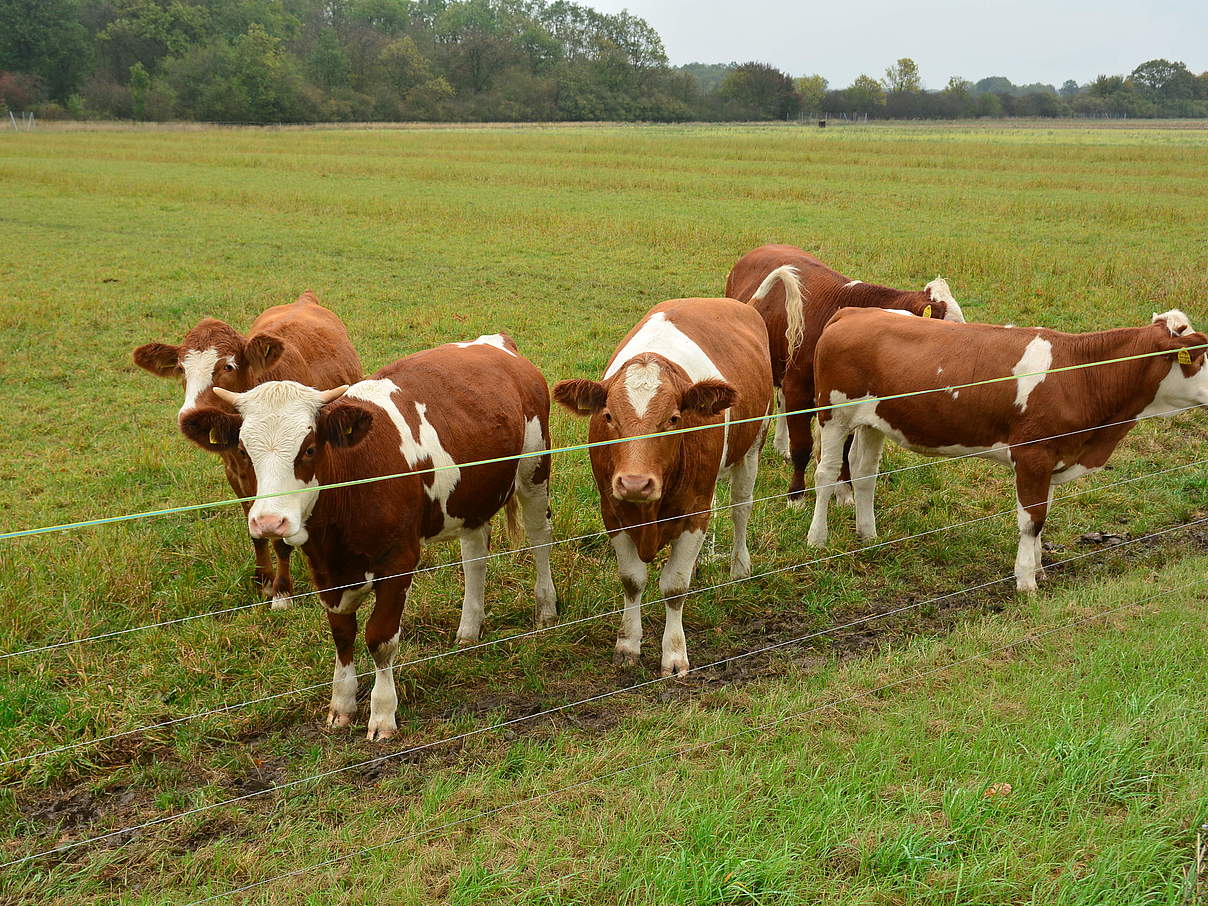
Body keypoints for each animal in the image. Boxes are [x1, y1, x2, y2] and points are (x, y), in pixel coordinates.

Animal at [132, 294, 359, 613]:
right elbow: (255, 532)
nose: (190, 414)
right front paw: (263, 580)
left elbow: (279, 538)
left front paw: (282, 591)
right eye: (181, 369)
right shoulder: (236, 475)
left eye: (227, 366)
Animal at [178, 338, 555, 739]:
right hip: (469, 497)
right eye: (244, 452)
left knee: (539, 537)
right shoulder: (324, 571)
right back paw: (468, 629)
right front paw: (341, 704)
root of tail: (493, 342)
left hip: (534, 469)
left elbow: (380, 638)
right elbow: (342, 634)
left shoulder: (399, 561)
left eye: (309, 449)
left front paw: (382, 714)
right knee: (474, 555)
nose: (269, 522)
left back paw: (546, 609)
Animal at [553, 298, 768, 676]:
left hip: (754, 445)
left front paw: (674, 654)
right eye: (609, 417)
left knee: (741, 507)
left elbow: (674, 586)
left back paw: (740, 567)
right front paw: (627, 645)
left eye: (673, 419)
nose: (635, 483)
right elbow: (632, 579)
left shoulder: (697, 509)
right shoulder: (612, 510)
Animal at [724, 245, 961, 504]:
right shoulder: (798, 391)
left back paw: (780, 447)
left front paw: (844, 492)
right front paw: (796, 496)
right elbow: (802, 446)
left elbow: (845, 451)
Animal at [802, 309, 1208, 591]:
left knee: (864, 472)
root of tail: (855, 312)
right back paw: (817, 539)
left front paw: (1040, 569)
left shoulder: (1052, 458)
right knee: (825, 474)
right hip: (834, 414)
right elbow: (1032, 519)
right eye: (1200, 357)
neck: (1082, 375)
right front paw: (1026, 581)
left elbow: (1043, 514)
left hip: (874, 421)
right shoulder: (1032, 454)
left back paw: (868, 535)